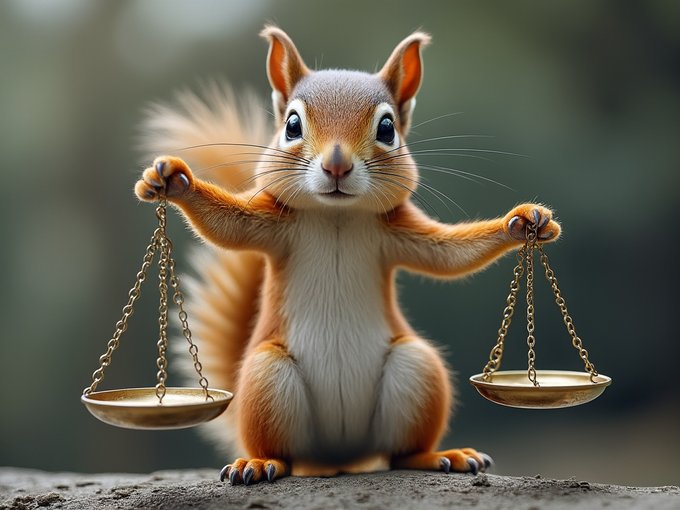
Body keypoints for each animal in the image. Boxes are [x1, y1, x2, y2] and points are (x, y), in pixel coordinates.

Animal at [135, 26, 561, 486]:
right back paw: (260, 463)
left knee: (399, 453)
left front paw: (524, 223)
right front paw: (173, 181)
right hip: (267, 378)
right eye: (292, 125)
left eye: (388, 128)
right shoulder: (271, 223)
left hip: (416, 370)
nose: (337, 163)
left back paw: (440, 456)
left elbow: (449, 254)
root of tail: (339, 458)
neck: (336, 216)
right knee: (284, 455)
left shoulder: (397, 230)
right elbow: (224, 224)